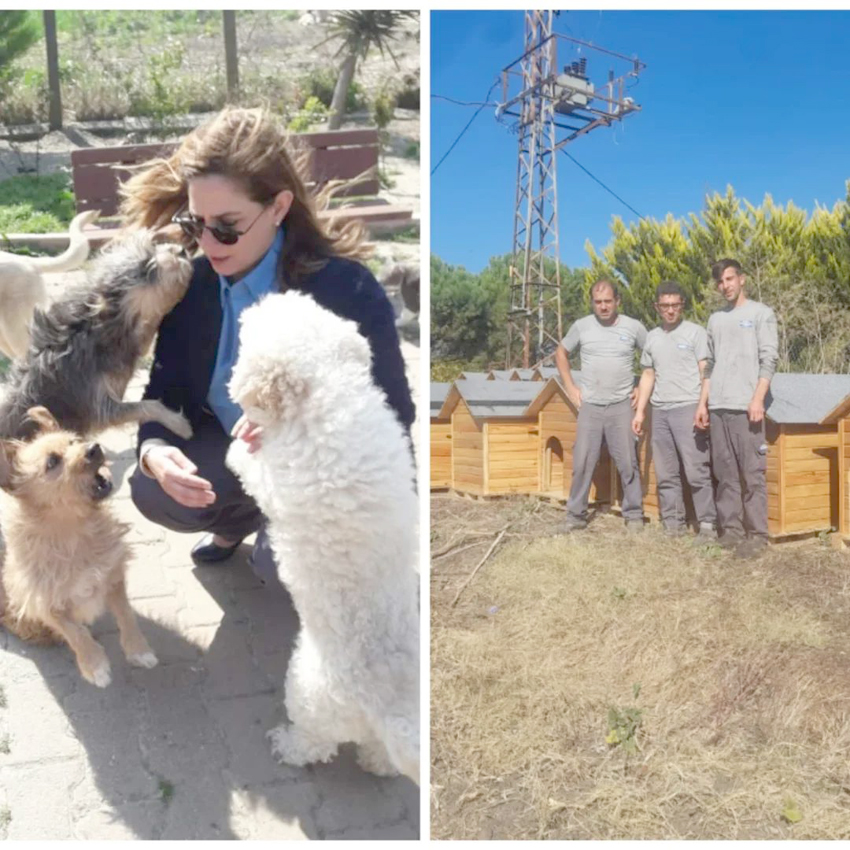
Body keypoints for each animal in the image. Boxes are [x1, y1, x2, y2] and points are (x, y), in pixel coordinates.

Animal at [0, 229, 194, 440]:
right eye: (147, 267)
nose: (182, 250)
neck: (89, 332)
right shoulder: (100, 408)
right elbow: (147, 405)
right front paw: (179, 423)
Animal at [0, 402, 157, 684]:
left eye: (74, 441)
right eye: (52, 462)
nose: (94, 448)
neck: (74, 532)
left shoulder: (113, 576)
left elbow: (126, 614)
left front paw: (138, 649)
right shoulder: (45, 603)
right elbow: (73, 631)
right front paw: (94, 664)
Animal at [225, 290, 420, 780]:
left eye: (247, 331)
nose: (253, 302)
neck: (330, 390)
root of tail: (387, 704)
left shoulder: (276, 482)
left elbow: (251, 464)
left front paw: (237, 443)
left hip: (308, 693)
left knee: (315, 744)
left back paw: (286, 745)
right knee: (379, 753)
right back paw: (377, 763)